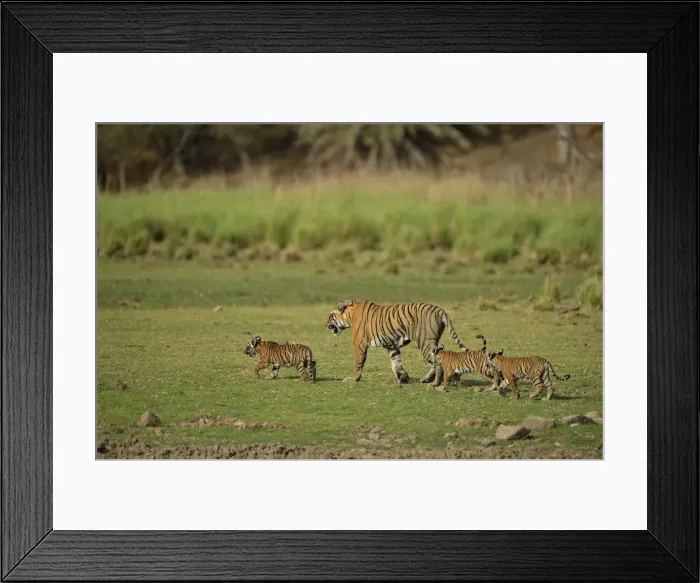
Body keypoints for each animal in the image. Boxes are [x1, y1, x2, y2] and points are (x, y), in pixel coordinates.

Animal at [325, 299, 468, 387]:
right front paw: (403, 377)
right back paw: (426, 379)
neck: (350, 315)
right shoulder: (392, 345)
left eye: (330, 316)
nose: (325, 325)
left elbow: (358, 363)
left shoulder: (359, 344)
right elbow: (396, 363)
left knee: (437, 363)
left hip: (425, 342)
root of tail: (439, 309)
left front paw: (353, 379)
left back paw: (434, 384)